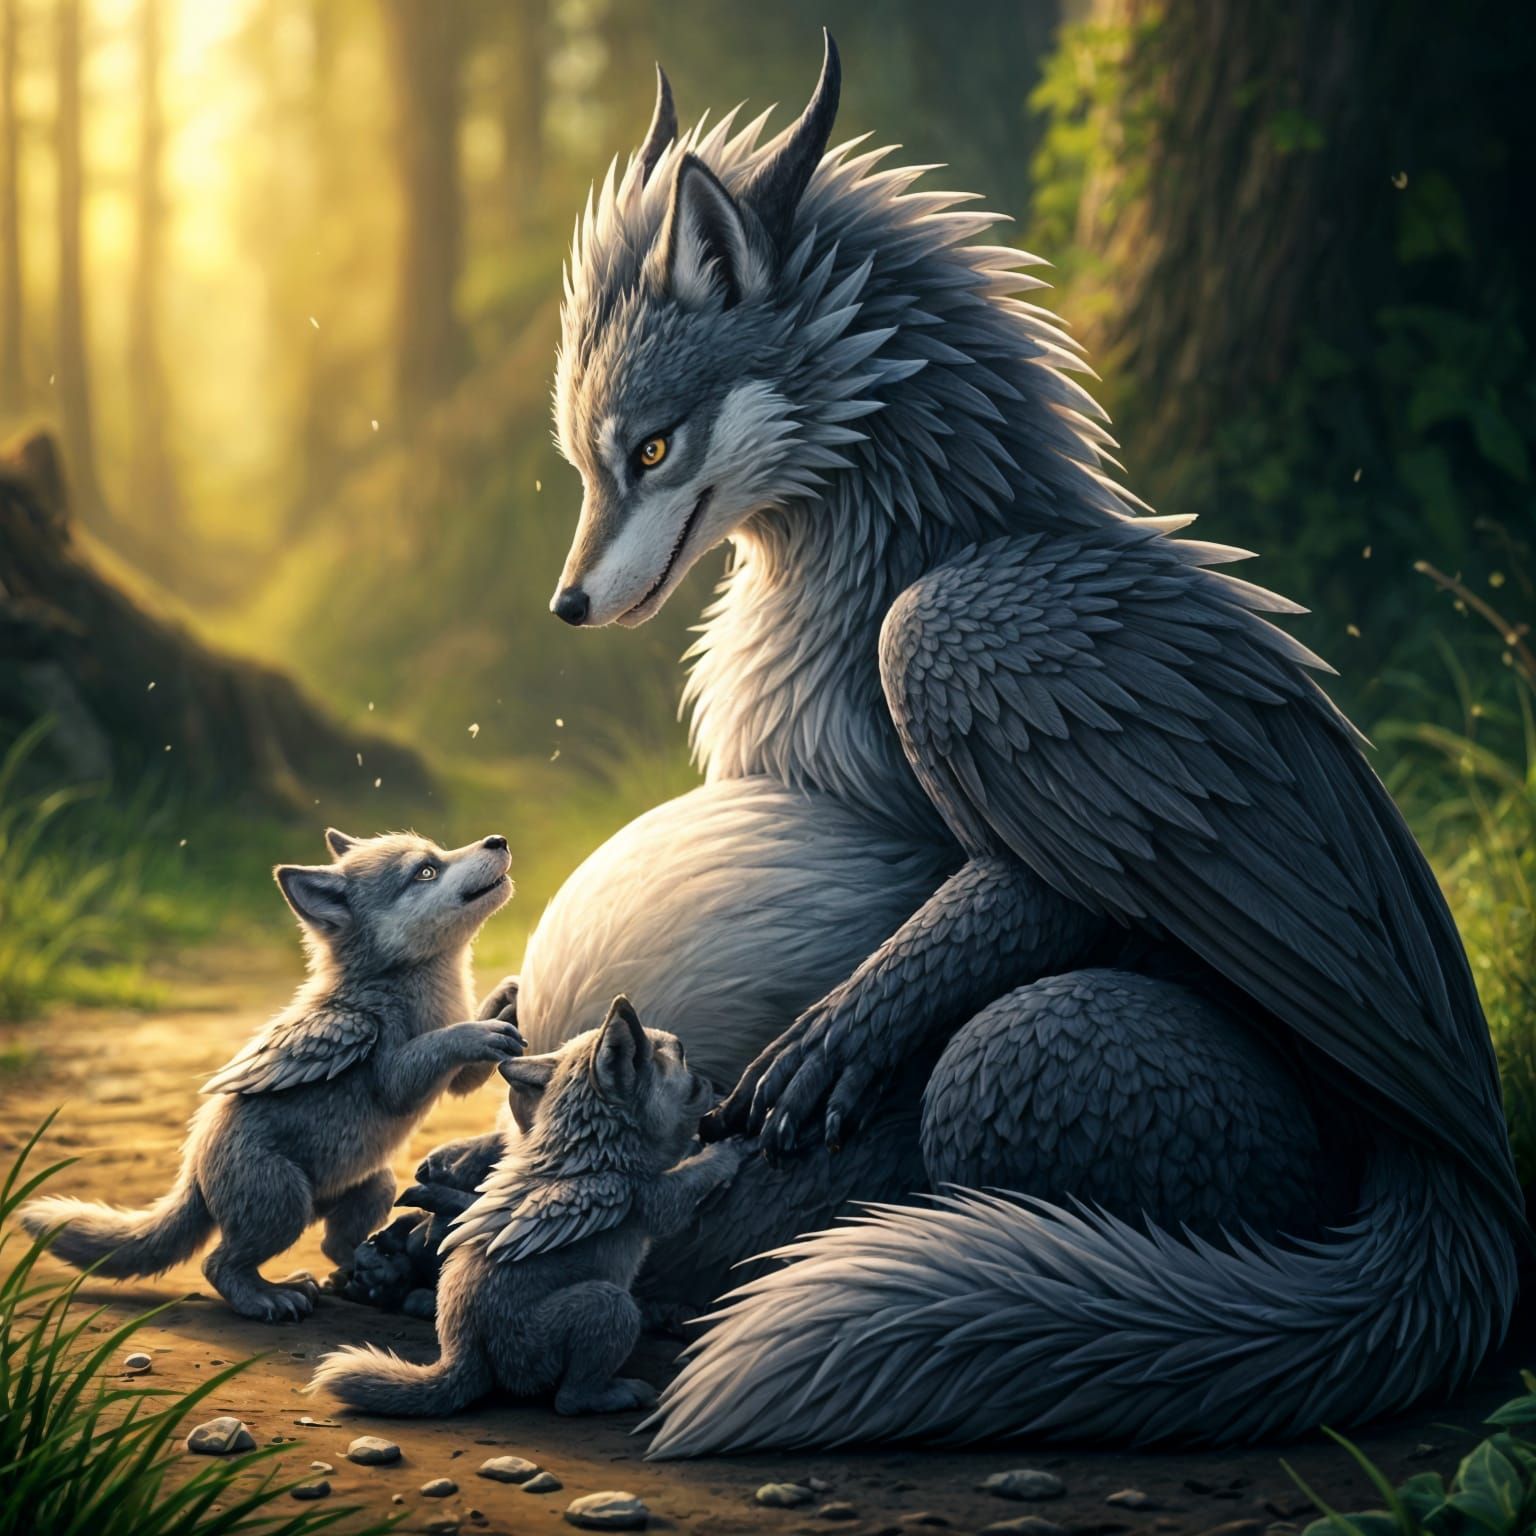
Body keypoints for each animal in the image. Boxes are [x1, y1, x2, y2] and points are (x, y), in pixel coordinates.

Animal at [21, 828, 522, 1321]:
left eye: (438, 853)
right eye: (425, 871)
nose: (499, 840)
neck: (412, 987)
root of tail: (192, 1172)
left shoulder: (455, 1081)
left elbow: (473, 1051)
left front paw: (509, 996)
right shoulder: (385, 1065)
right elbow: (430, 1051)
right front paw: (476, 1030)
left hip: (374, 1186)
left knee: (337, 1246)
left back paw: (377, 1276)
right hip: (284, 1202)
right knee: (218, 1263)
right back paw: (272, 1297)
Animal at [309, 997, 737, 1416]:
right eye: (680, 1056)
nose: (717, 1090)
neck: (597, 1147)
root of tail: (462, 1355)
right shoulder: (644, 1199)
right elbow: (687, 1184)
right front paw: (727, 1151)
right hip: (606, 1306)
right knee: (569, 1400)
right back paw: (621, 1393)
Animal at [420, 33, 1521, 1453]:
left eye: (651, 447)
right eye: (582, 460)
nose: (565, 606)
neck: (890, 568)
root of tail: (1465, 1187)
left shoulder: (959, 658)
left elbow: (1008, 908)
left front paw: (811, 1061)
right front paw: (490, 1124)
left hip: (1039, 1058)